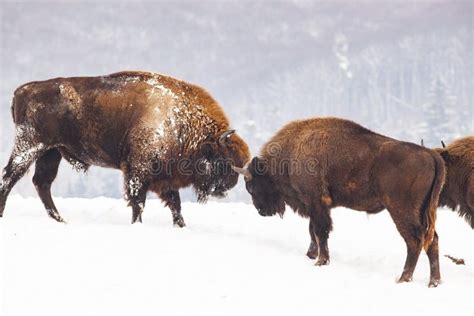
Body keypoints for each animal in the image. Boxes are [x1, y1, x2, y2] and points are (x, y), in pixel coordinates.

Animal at [0, 71, 250, 225]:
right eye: (224, 160)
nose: (227, 187)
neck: (181, 121)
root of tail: (22, 90)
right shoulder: (138, 172)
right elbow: (138, 203)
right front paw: (137, 224)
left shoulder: (165, 178)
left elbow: (175, 205)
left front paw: (181, 226)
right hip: (31, 145)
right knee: (10, 177)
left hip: (52, 152)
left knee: (42, 182)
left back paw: (61, 220)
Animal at [235, 118, 446, 286]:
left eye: (252, 186)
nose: (263, 211)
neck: (291, 152)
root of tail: (431, 155)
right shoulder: (318, 206)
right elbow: (313, 230)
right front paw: (312, 255)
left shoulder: (316, 202)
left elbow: (320, 231)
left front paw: (320, 261)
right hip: (424, 210)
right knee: (432, 240)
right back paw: (433, 282)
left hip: (400, 210)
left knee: (414, 240)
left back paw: (403, 279)